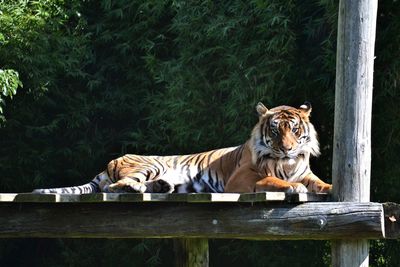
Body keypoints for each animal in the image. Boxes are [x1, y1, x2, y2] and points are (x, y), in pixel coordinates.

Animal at [32, 102, 332, 195]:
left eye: (295, 130)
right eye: (275, 130)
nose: (287, 149)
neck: (288, 164)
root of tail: (109, 163)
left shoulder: (306, 172)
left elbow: (320, 183)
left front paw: (329, 188)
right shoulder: (241, 178)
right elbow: (270, 179)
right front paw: (292, 187)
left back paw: (161, 187)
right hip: (149, 164)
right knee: (116, 186)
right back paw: (140, 189)